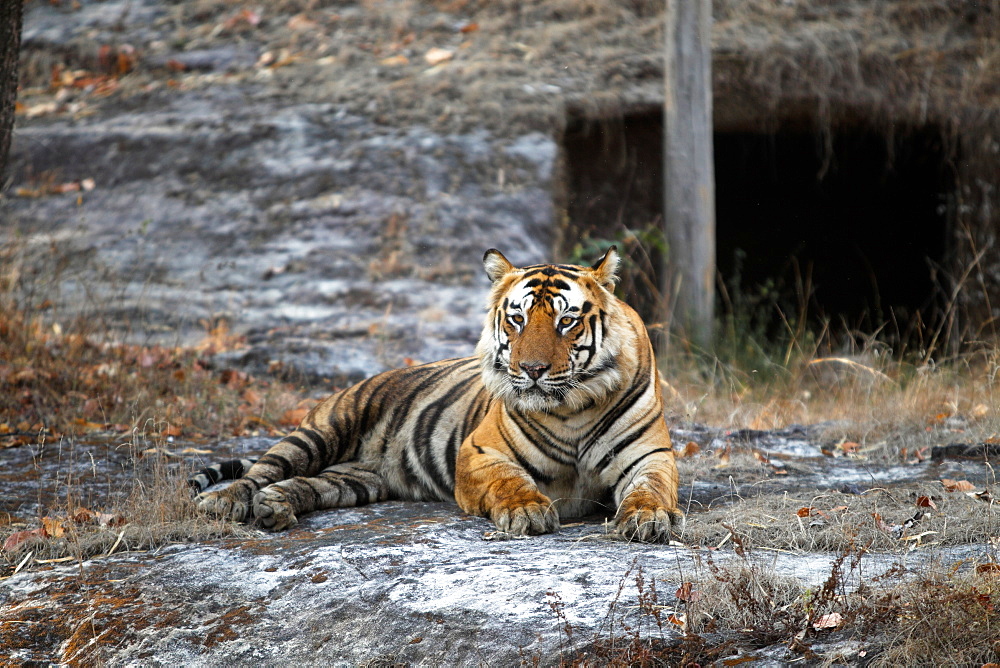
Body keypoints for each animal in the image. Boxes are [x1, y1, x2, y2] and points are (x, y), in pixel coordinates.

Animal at [191, 248, 684, 540]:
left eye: (567, 322)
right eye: (518, 319)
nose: (532, 370)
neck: (572, 410)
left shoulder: (650, 455)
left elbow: (652, 488)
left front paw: (647, 517)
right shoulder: (480, 451)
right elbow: (510, 481)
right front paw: (526, 510)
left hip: (356, 479)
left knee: (307, 484)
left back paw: (274, 507)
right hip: (321, 432)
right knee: (263, 470)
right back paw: (227, 502)